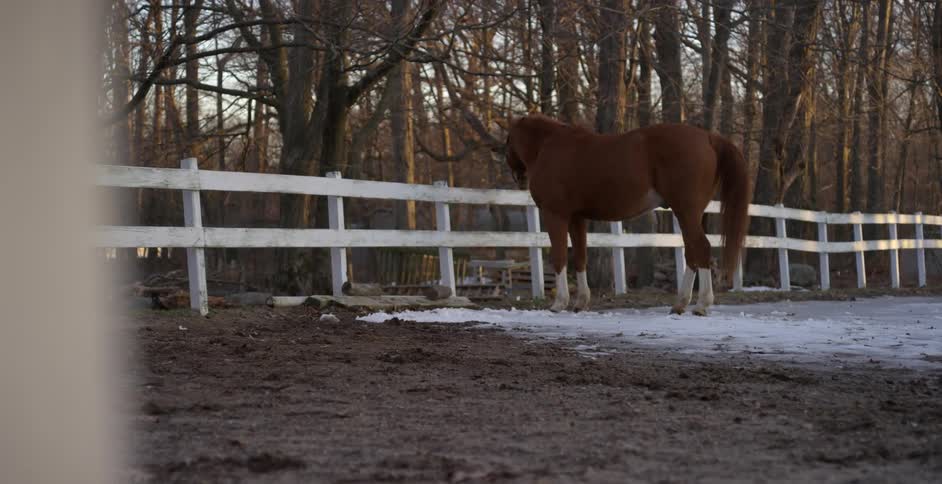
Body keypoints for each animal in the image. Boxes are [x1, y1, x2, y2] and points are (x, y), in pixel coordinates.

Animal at [505, 113, 751, 315]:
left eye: (507, 141)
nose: (519, 178)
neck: (548, 146)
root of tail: (708, 137)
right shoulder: (577, 217)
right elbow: (581, 258)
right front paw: (580, 302)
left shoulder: (555, 215)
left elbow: (559, 257)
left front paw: (559, 303)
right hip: (688, 214)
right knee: (692, 253)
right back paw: (680, 304)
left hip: (686, 211)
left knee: (701, 249)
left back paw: (701, 305)